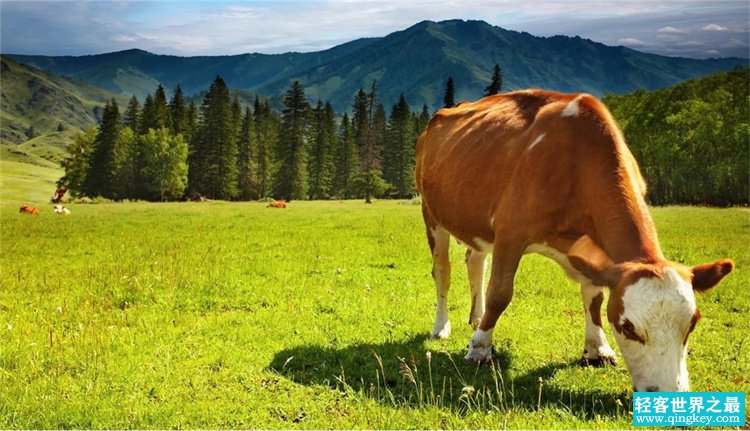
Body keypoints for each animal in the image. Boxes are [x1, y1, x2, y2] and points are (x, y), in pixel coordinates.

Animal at [420, 89, 736, 394]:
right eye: (628, 328)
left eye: (692, 323)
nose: (671, 394)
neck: (576, 163)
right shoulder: (510, 232)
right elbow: (500, 293)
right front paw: (479, 349)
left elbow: (594, 297)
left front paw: (598, 347)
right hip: (432, 215)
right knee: (443, 273)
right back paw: (442, 326)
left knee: (475, 263)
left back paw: (476, 316)